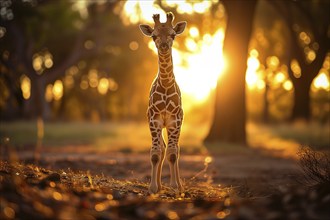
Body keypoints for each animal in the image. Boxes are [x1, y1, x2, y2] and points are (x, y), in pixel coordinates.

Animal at [139, 12, 186, 193]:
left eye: (173, 34)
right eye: (154, 36)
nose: (164, 46)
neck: (165, 84)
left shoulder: (175, 120)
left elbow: (173, 153)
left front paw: (174, 186)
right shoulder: (154, 120)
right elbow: (155, 153)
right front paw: (153, 187)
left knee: (175, 149)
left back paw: (179, 185)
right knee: (162, 147)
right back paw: (159, 184)